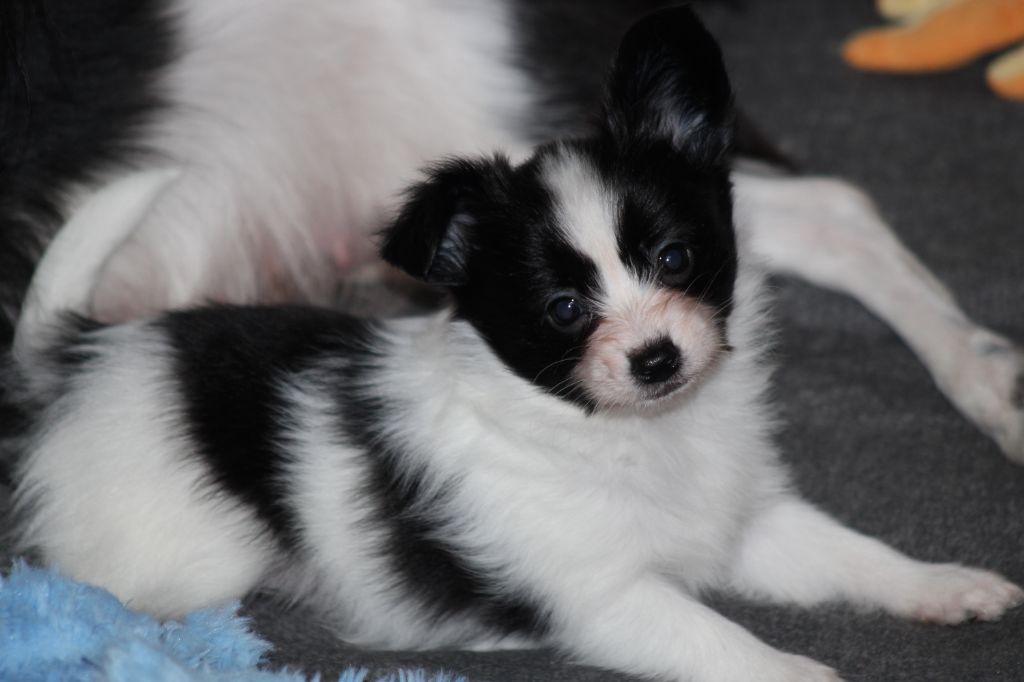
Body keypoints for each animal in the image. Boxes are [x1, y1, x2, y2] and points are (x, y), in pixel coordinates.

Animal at [8, 10, 1024, 679]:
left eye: (676, 258)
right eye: (564, 310)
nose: (657, 358)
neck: (638, 437)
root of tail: (79, 350)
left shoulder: (747, 527)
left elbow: (854, 553)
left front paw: (944, 585)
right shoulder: (606, 600)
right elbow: (736, 648)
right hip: (180, 563)